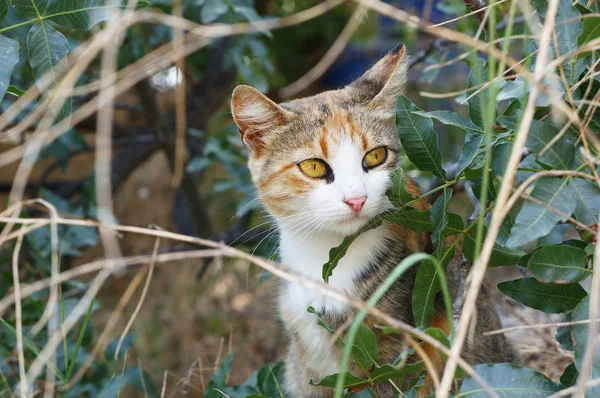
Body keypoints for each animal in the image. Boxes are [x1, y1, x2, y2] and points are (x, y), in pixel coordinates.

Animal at [232, 45, 512, 396]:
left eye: (376, 156)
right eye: (313, 167)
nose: (357, 199)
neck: (326, 258)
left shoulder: (395, 356)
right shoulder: (308, 363)